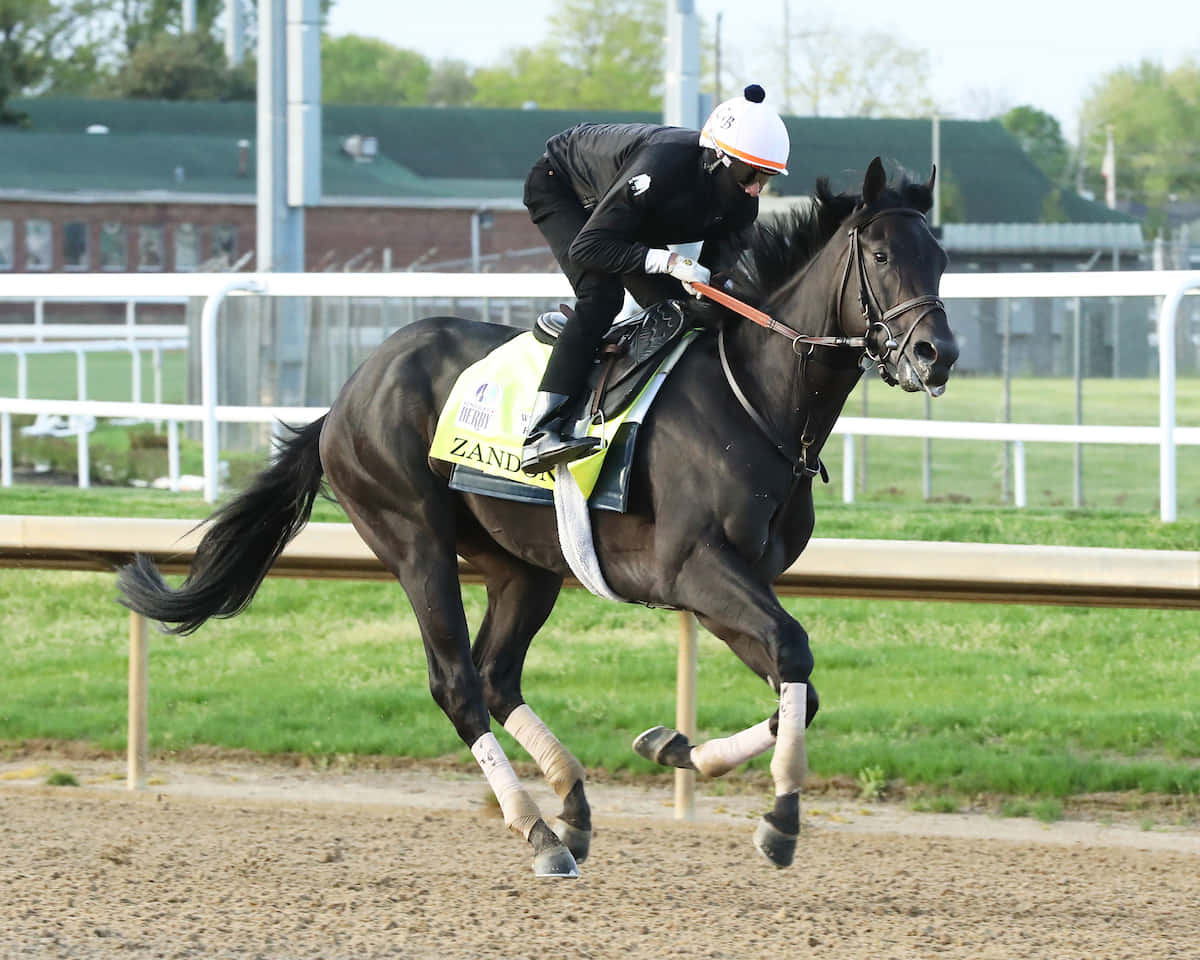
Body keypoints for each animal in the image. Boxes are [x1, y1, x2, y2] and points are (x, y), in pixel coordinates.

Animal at [117, 157, 958, 878]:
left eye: (942, 257)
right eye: (882, 253)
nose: (936, 353)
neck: (752, 397)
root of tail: (347, 394)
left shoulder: (736, 582)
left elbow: (798, 688)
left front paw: (672, 746)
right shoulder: (695, 570)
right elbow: (794, 652)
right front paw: (780, 820)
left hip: (523, 564)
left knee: (497, 675)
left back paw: (571, 805)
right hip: (413, 540)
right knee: (458, 684)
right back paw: (539, 831)